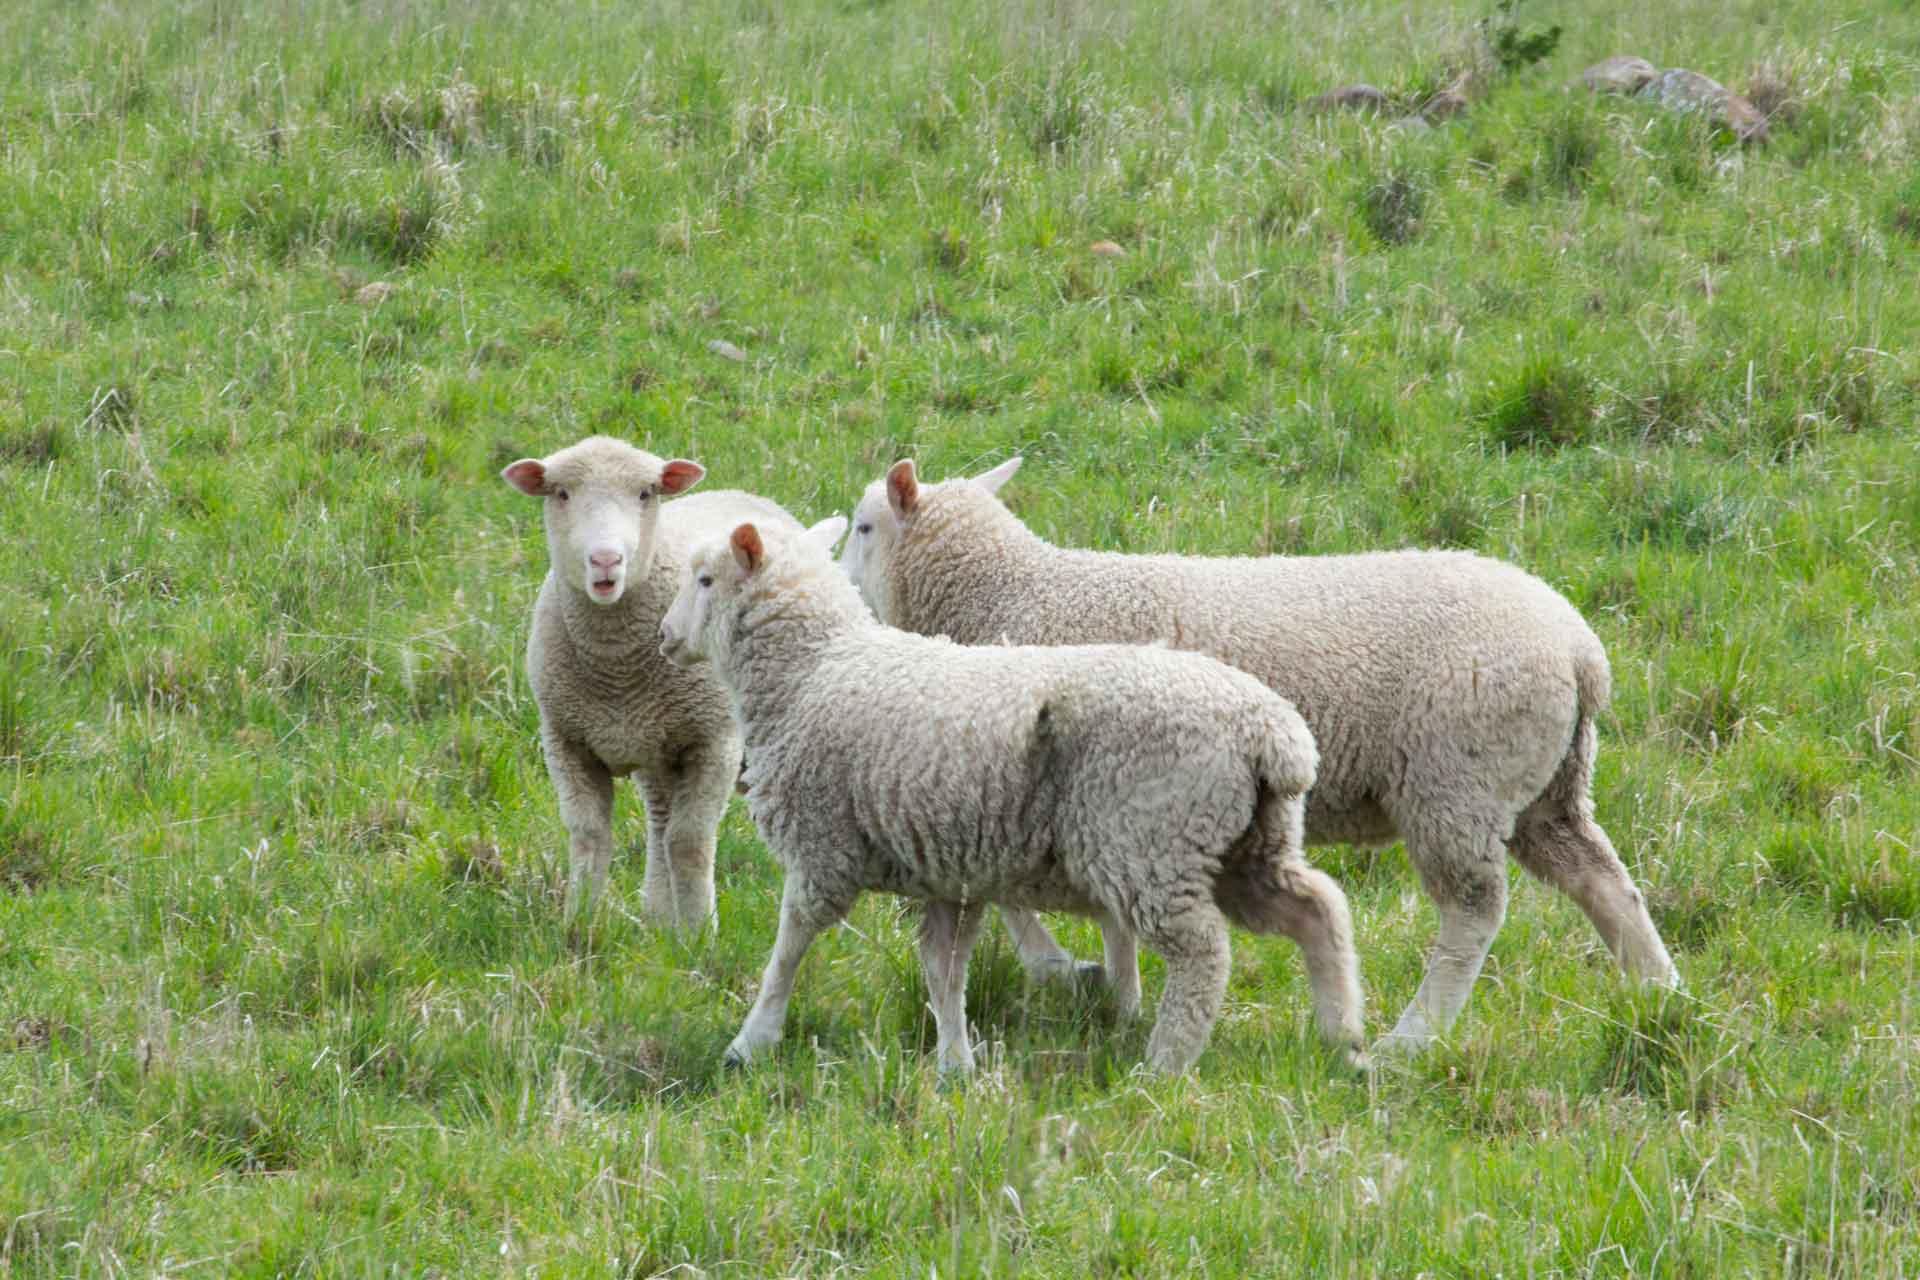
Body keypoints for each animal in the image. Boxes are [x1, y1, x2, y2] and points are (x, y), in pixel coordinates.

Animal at [501, 435, 804, 928]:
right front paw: (579, 924)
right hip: (657, 749)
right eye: (561, 493)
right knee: (660, 821)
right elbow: (590, 834)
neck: (615, 668)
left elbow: (690, 843)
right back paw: (660, 918)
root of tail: (747, 496)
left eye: (646, 493)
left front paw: (700, 933)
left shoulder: (713, 741)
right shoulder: (566, 740)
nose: (606, 560)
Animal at [658, 517, 1364, 1075]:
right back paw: (1342, 1035)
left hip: (1152, 840)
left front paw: (751, 1041)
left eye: (705, 580)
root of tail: (1272, 733)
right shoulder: (946, 868)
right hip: (1244, 838)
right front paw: (954, 1064)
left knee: (1204, 955)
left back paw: (1165, 1064)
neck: (812, 669)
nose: (665, 635)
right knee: (1317, 908)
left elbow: (789, 950)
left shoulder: (821, 849)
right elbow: (943, 970)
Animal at [840, 457, 1681, 1052]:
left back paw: (1413, 1035)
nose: (841, 590)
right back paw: (1661, 995)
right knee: (1605, 883)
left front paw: (1063, 971)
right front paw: (1118, 992)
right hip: (1546, 787)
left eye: (862, 527)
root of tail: (1580, 651)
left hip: (1456, 780)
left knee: (1474, 913)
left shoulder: (1031, 780)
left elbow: (1010, 894)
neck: (1012, 592)